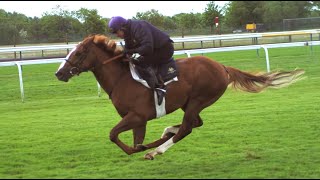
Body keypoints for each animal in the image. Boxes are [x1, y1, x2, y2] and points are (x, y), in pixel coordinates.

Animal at [55, 34, 304, 160]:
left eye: (79, 53)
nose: (59, 73)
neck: (122, 78)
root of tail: (222, 67)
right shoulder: (138, 120)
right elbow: (134, 140)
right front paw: (145, 145)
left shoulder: (137, 116)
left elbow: (114, 135)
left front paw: (142, 149)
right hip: (190, 103)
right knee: (194, 124)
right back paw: (163, 136)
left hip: (198, 100)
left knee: (186, 128)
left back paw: (156, 150)